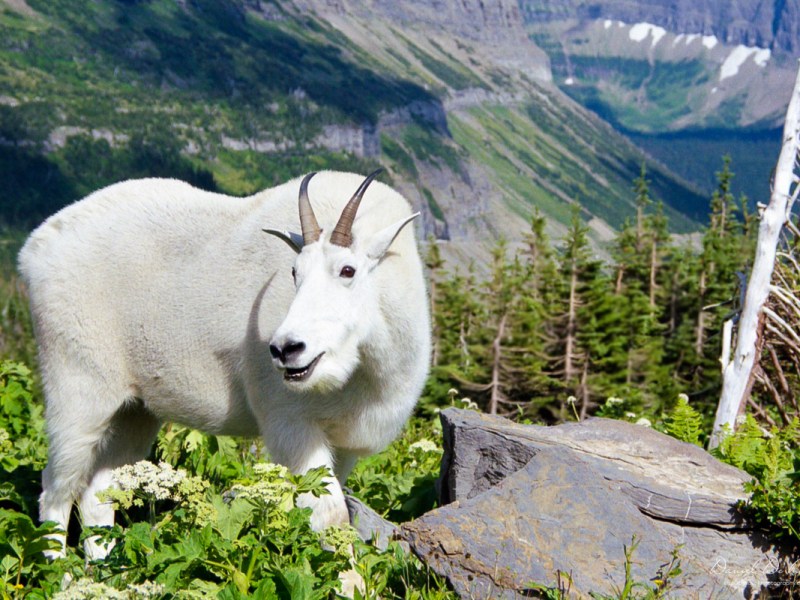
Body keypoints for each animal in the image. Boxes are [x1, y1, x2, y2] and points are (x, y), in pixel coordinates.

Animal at [18, 169, 431, 559]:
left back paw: (103, 569)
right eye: (294, 273)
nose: (285, 349)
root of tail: (34, 250)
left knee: (100, 491)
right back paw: (60, 573)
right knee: (56, 488)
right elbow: (331, 515)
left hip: (133, 412)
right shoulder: (292, 424)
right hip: (78, 387)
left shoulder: (343, 443)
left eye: (348, 270)